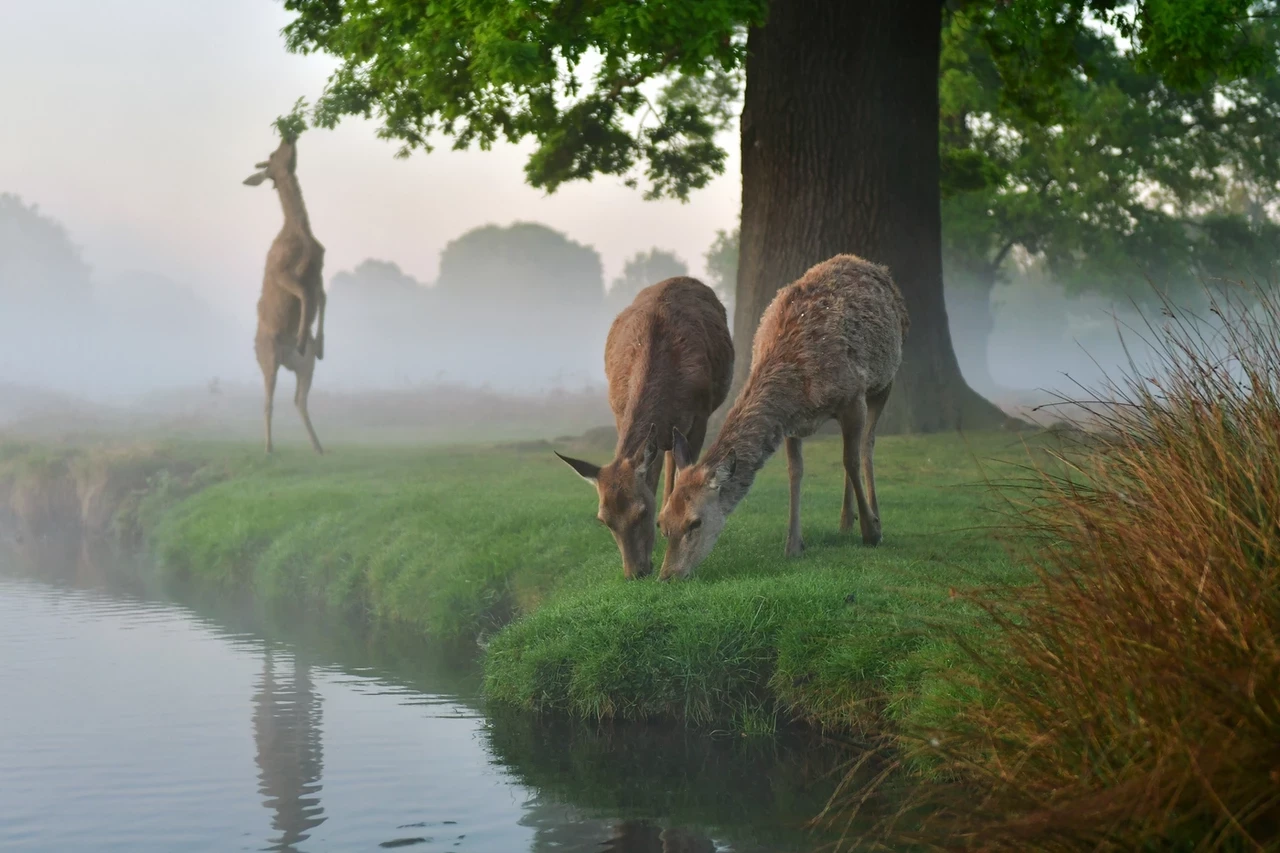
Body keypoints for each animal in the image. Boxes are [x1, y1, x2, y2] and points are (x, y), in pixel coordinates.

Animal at [241, 136, 325, 450]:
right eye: (272, 154)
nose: (288, 137)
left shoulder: (318, 272)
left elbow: (321, 298)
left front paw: (319, 343)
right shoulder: (282, 273)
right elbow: (304, 296)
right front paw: (301, 336)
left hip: (305, 366)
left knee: (299, 399)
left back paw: (318, 448)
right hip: (267, 357)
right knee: (269, 402)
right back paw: (268, 448)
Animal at [660, 252, 911, 578]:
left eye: (695, 522)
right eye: (663, 522)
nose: (667, 575)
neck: (798, 384)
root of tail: (867, 264)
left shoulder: (854, 396)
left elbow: (851, 460)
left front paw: (872, 532)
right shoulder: (792, 423)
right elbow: (796, 471)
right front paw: (793, 544)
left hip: (885, 379)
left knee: (866, 444)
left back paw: (873, 516)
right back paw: (845, 521)